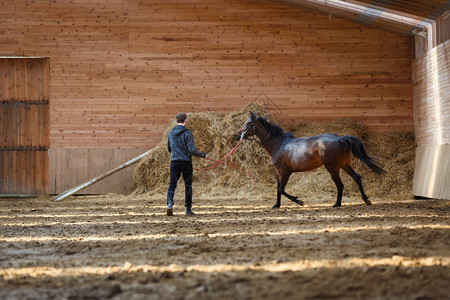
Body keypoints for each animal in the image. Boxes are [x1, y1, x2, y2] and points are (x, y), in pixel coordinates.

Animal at [234, 112, 384, 209]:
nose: (235, 135)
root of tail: (340, 139)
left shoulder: (285, 171)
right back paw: (366, 200)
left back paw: (337, 204)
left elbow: (281, 189)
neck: (279, 144)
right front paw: (276, 205)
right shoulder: (279, 172)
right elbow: (278, 188)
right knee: (357, 178)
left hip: (333, 168)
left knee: (340, 185)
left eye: (248, 123)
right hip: (345, 164)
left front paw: (299, 201)